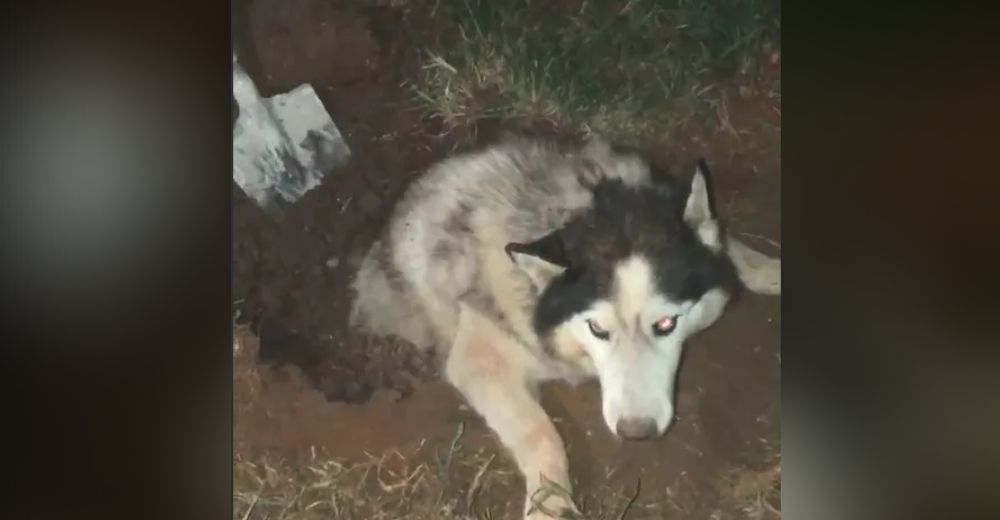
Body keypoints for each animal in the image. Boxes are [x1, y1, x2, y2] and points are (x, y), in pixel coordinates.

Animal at [352, 136, 780, 516]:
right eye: (597, 330)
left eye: (665, 323)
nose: (636, 431)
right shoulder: (480, 358)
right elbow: (542, 434)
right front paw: (550, 505)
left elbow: (731, 246)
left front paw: (770, 270)